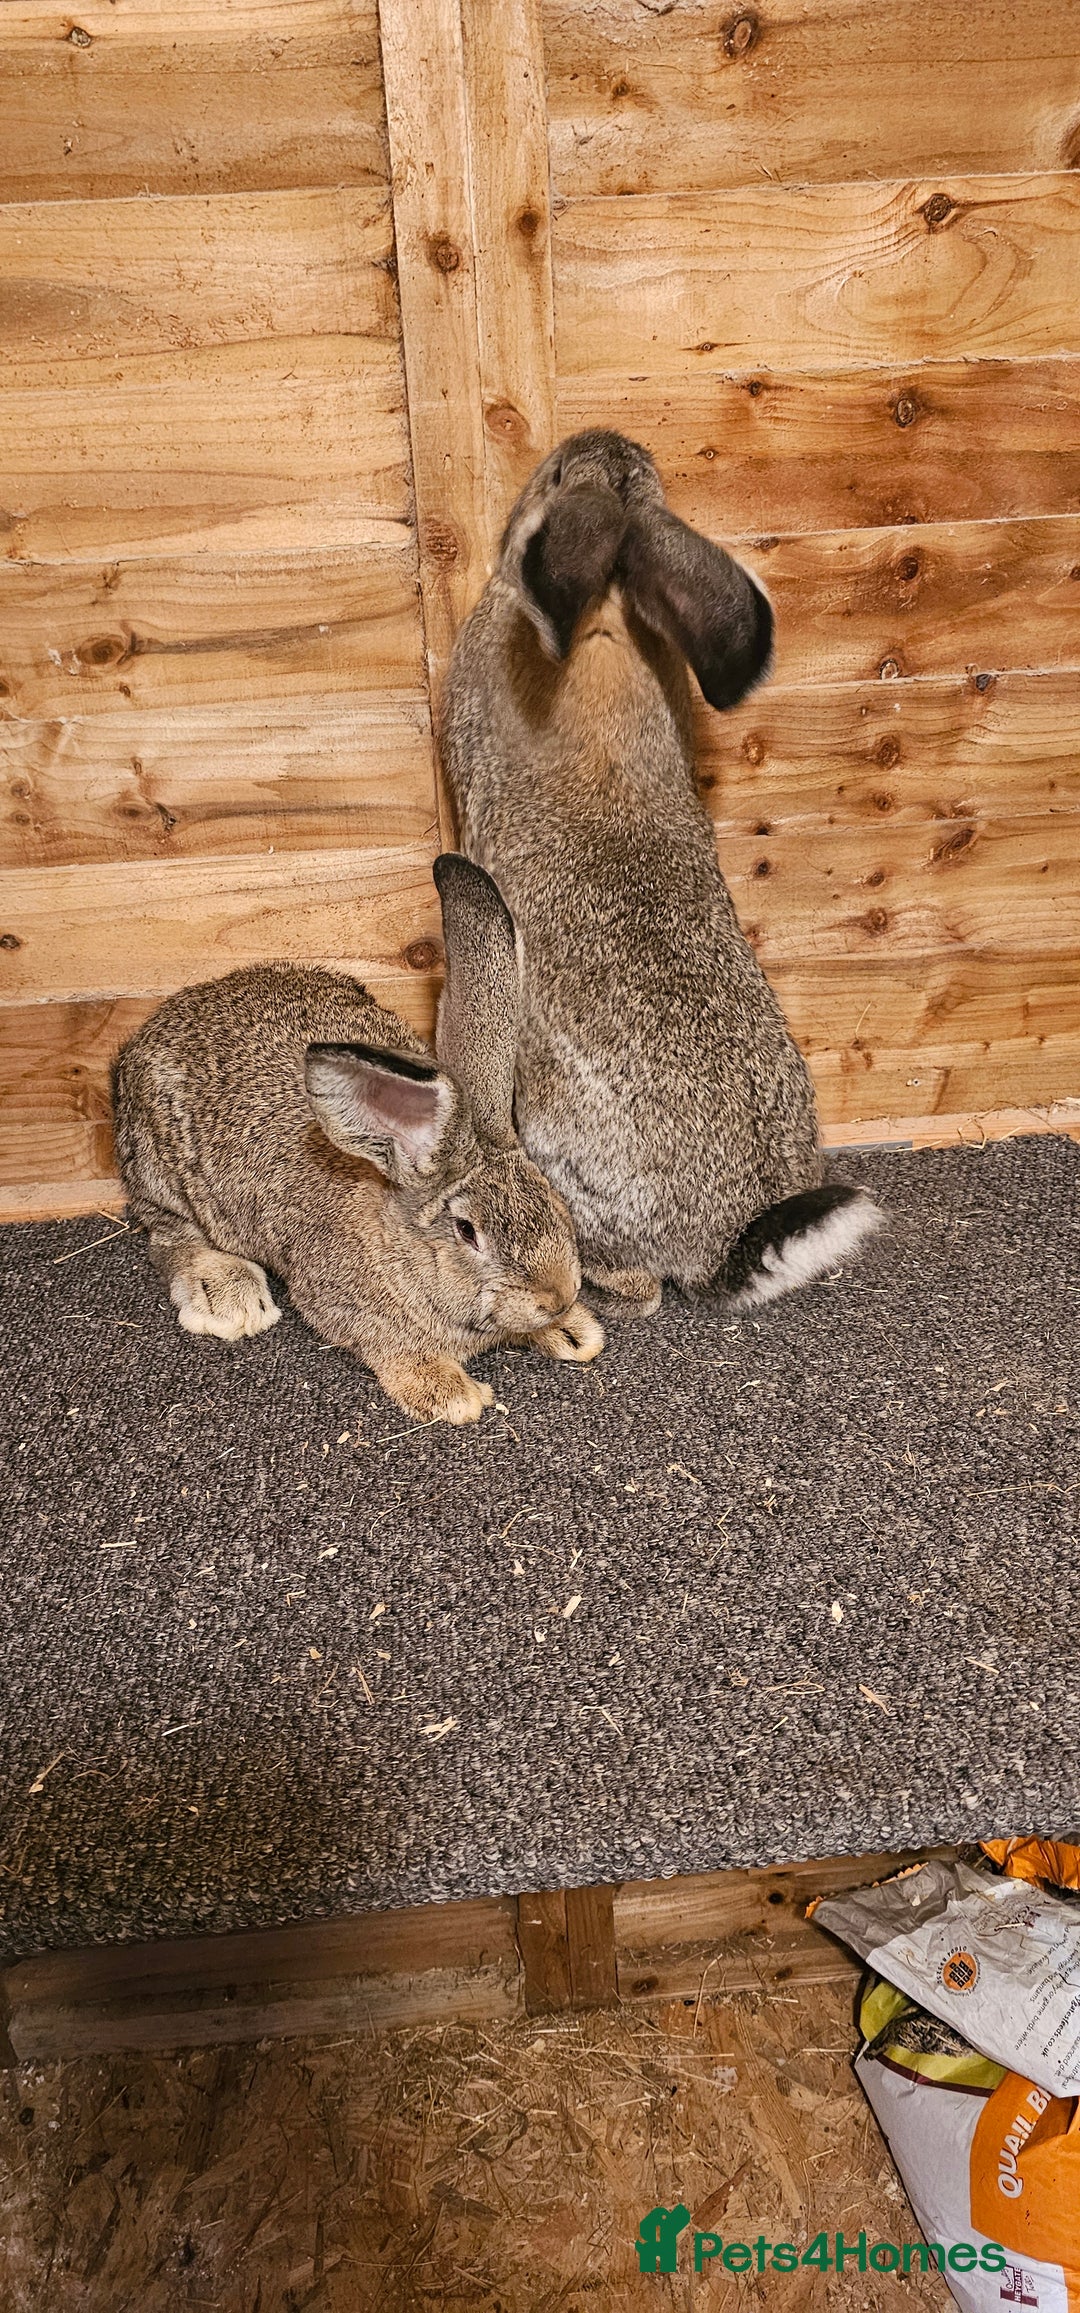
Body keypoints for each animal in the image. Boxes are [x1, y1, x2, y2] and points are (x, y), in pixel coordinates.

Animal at [111, 854, 604, 1424]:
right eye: (467, 1232)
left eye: (553, 1198)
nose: (558, 1297)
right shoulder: (346, 1306)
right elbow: (391, 1348)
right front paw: (451, 1394)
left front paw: (574, 1333)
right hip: (164, 1171)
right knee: (169, 1233)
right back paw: (227, 1295)